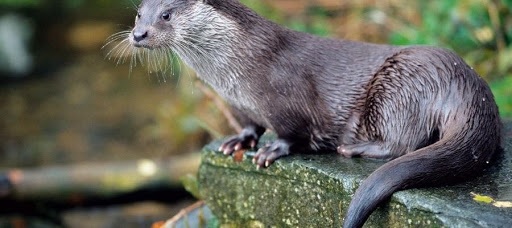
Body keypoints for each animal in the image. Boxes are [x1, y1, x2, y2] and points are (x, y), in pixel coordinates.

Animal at [109, 0, 504, 227]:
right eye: (138, 13)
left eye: (166, 14)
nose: (139, 34)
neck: (236, 72)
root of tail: (466, 83)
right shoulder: (238, 104)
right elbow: (250, 125)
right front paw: (239, 141)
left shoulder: (285, 97)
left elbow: (293, 132)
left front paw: (273, 150)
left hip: (400, 86)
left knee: (404, 143)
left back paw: (353, 148)